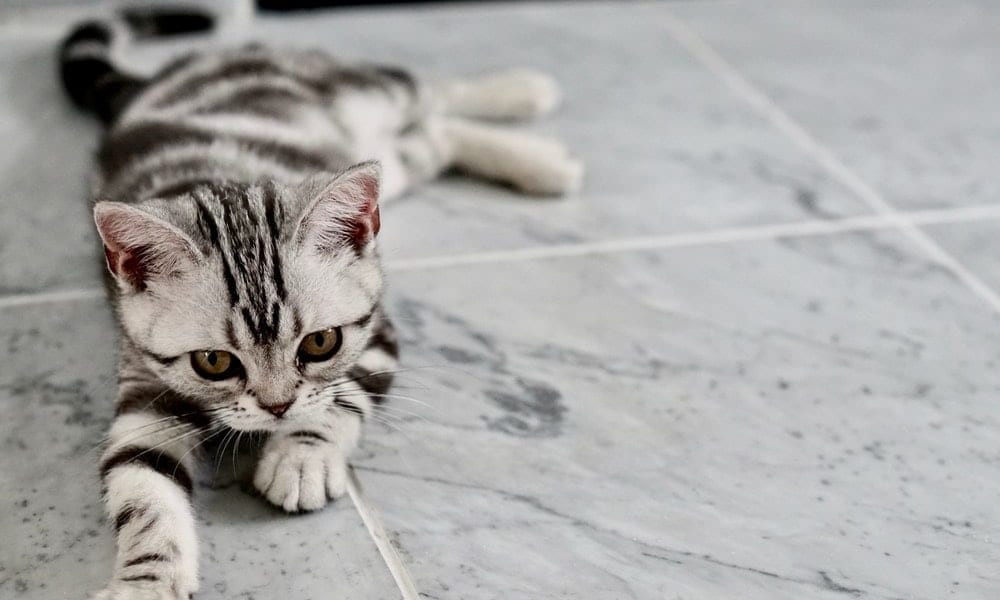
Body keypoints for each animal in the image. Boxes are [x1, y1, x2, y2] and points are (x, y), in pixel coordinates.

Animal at [58, 5, 584, 600]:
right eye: (213, 362)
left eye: (319, 343)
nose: (277, 408)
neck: (219, 181)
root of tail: (154, 83)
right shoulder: (144, 379)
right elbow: (141, 483)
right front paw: (147, 580)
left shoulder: (376, 332)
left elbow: (342, 396)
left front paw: (300, 456)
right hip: (390, 163)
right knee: (431, 140)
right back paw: (539, 156)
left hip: (363, 93)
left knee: (426, 92)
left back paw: (525, 102)